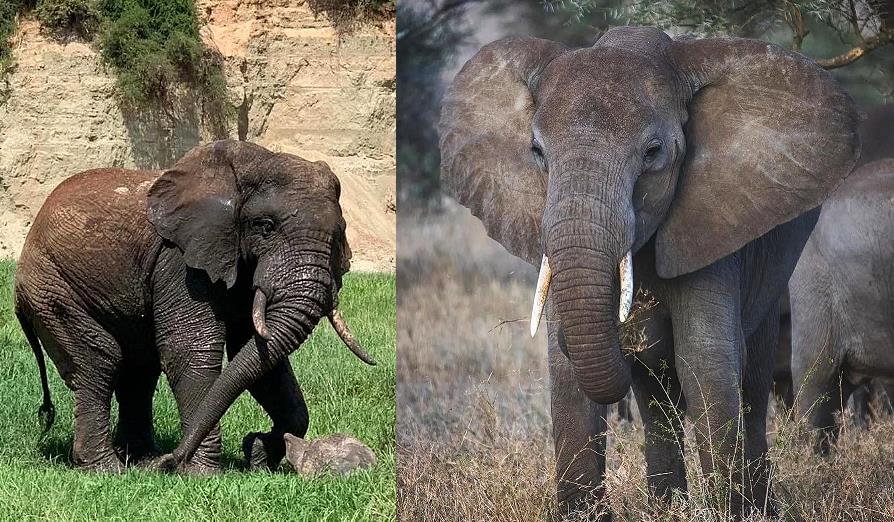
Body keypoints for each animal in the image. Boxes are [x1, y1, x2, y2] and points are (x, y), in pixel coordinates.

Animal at [15, 138, 376, 472]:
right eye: (265, 227)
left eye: (339, 234)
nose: (170, 462)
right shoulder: (179, 260)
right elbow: (191, 347)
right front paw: (202, 474)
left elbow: (260, 352)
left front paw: (256, 454)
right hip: (51, 289)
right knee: (98, 361)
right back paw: (108, 469)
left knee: (138, 370)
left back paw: (141, 461)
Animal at [440, 26, 860, 512]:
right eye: (537, 151)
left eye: (653, 152)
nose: (627, 324)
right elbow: (568, 380)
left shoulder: (712, 230)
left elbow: (703, 363)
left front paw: (730, 510)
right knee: (657, 399)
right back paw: (667, 507)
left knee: (751, 379)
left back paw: (758, 507)